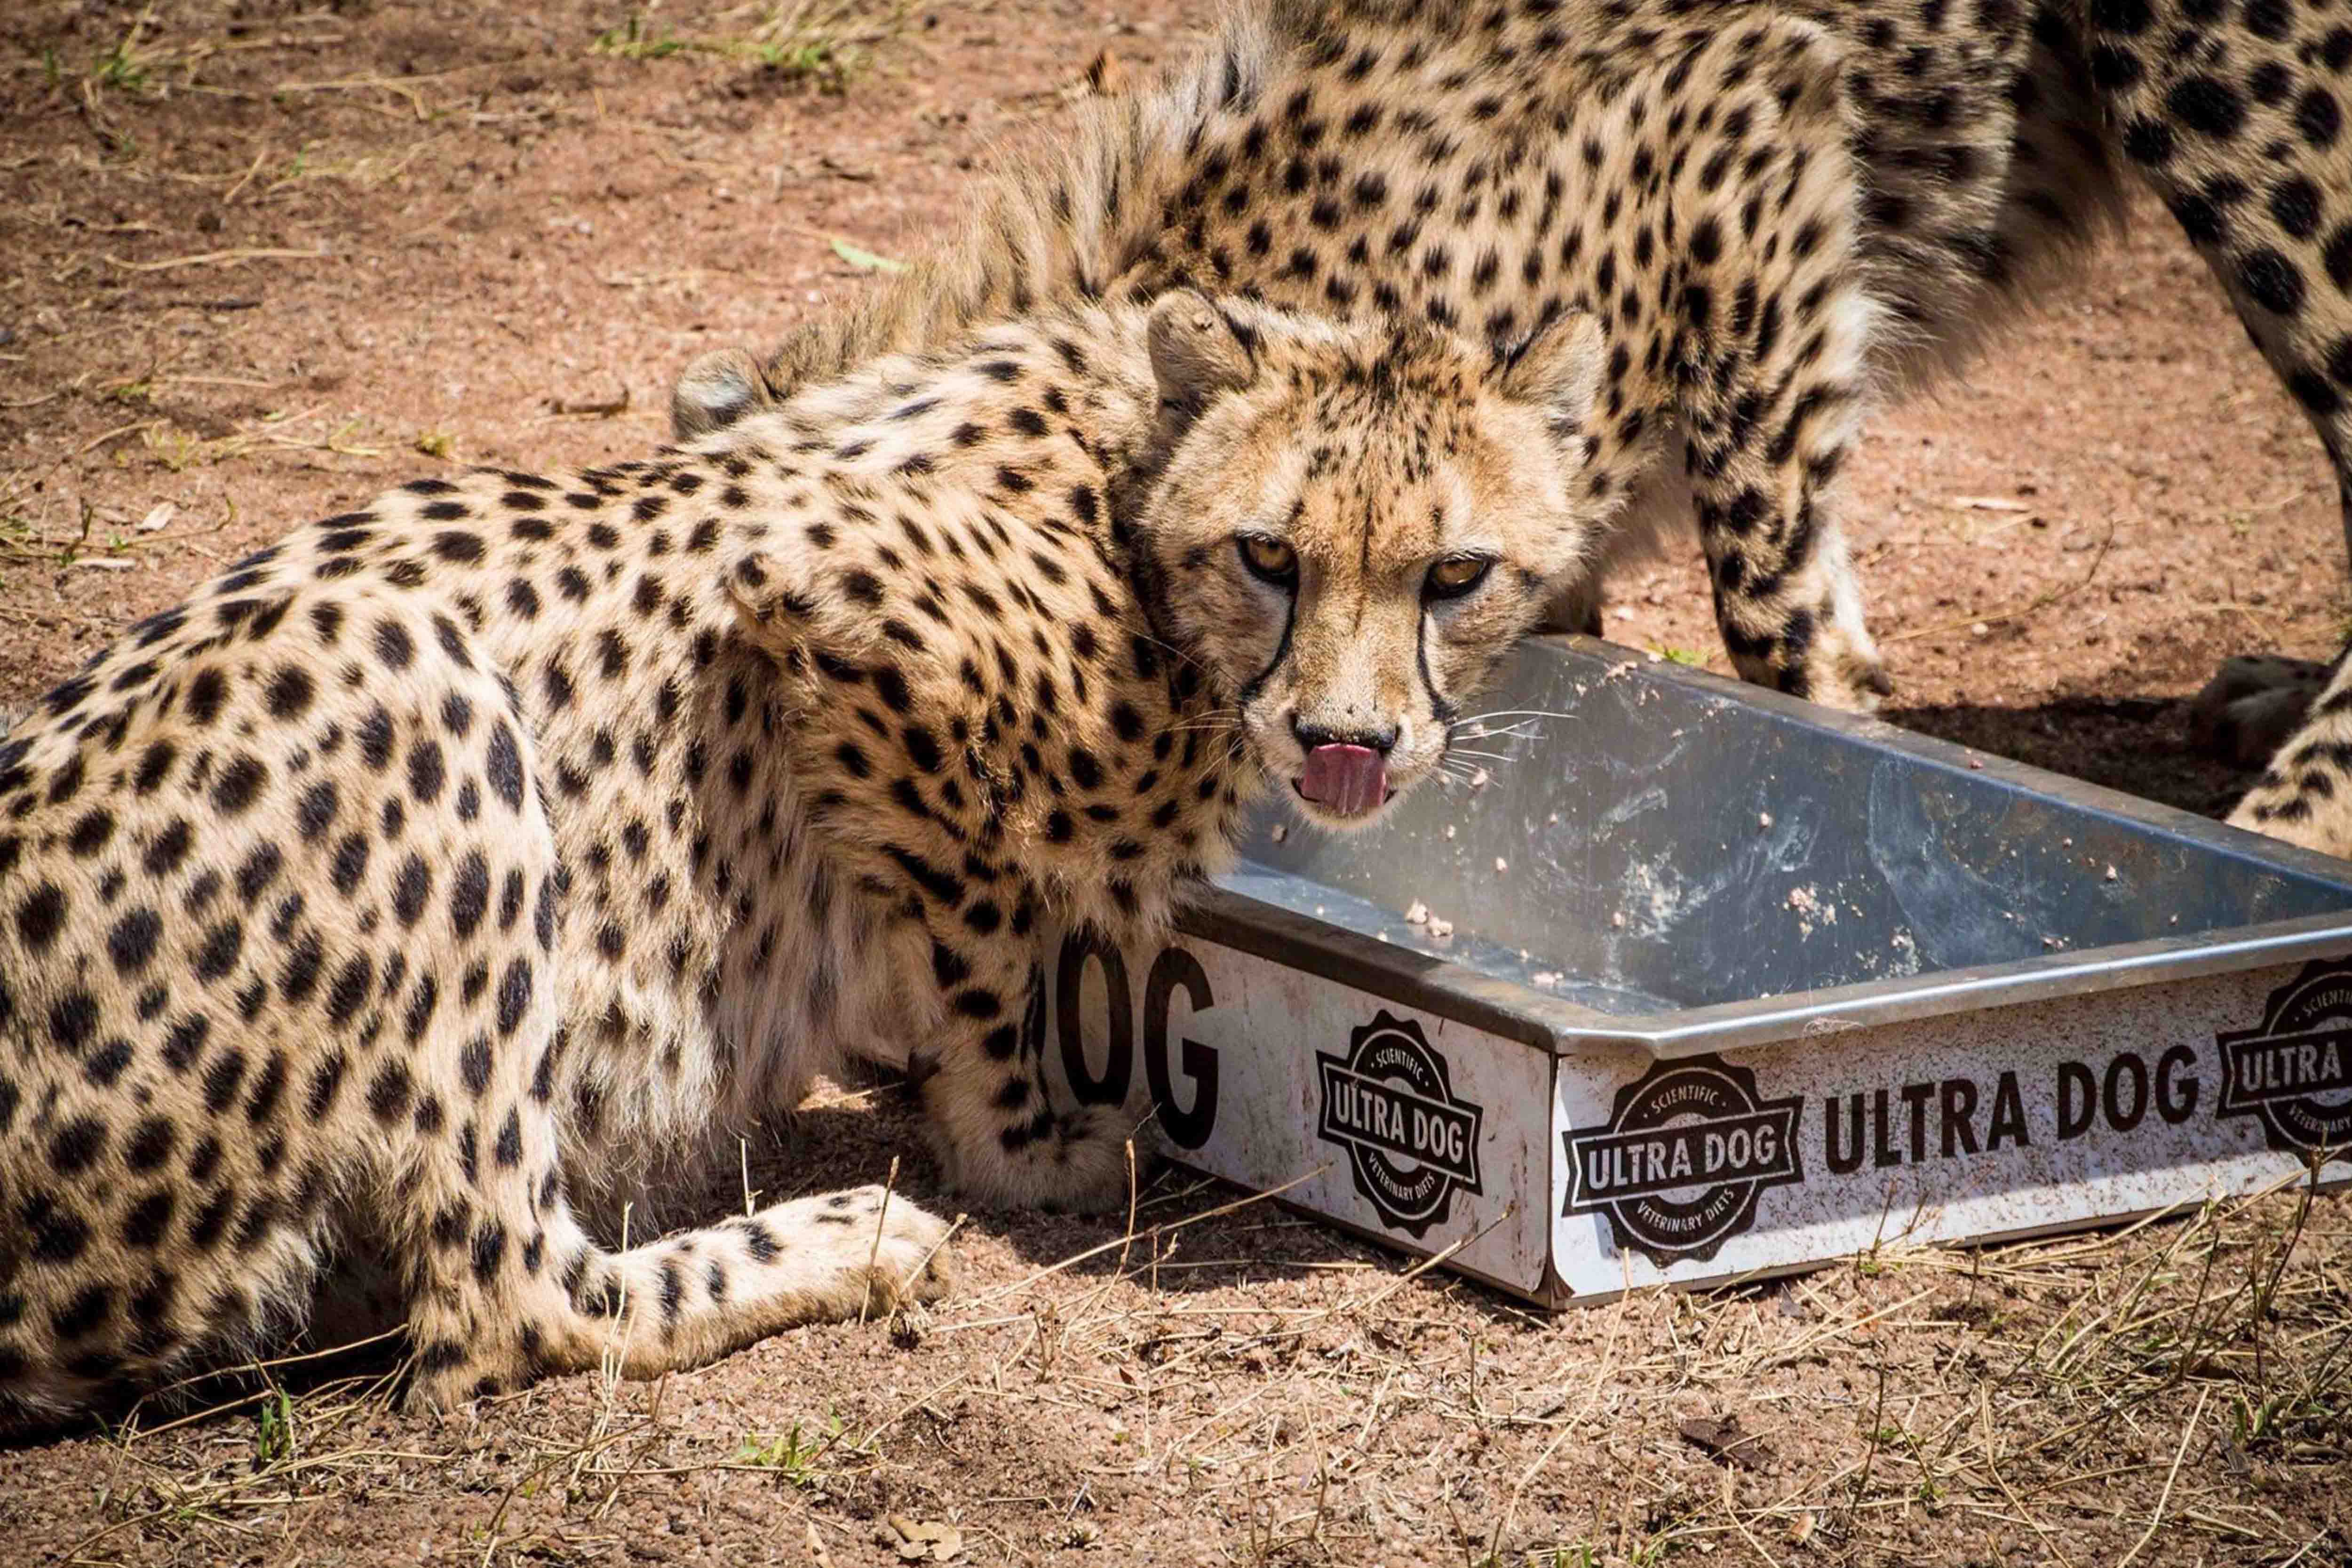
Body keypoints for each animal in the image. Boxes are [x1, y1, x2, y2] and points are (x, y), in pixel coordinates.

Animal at [0, 286, 1609, 1422]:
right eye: (1271, 555)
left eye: (1455, 574)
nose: (1349, 743)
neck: (1131, 488)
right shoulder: (823, 590)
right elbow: (988, 932)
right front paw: (1025, 1142)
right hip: (400, 662)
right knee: (501, 1298)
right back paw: (845, 1236)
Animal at [670, 0, 2352, 860]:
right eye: (1265, 559)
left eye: (1443, 575)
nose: (1343, 745)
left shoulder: (1743, 126)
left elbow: (1773, 602)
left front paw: (1845, 764)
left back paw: (2292, 831)